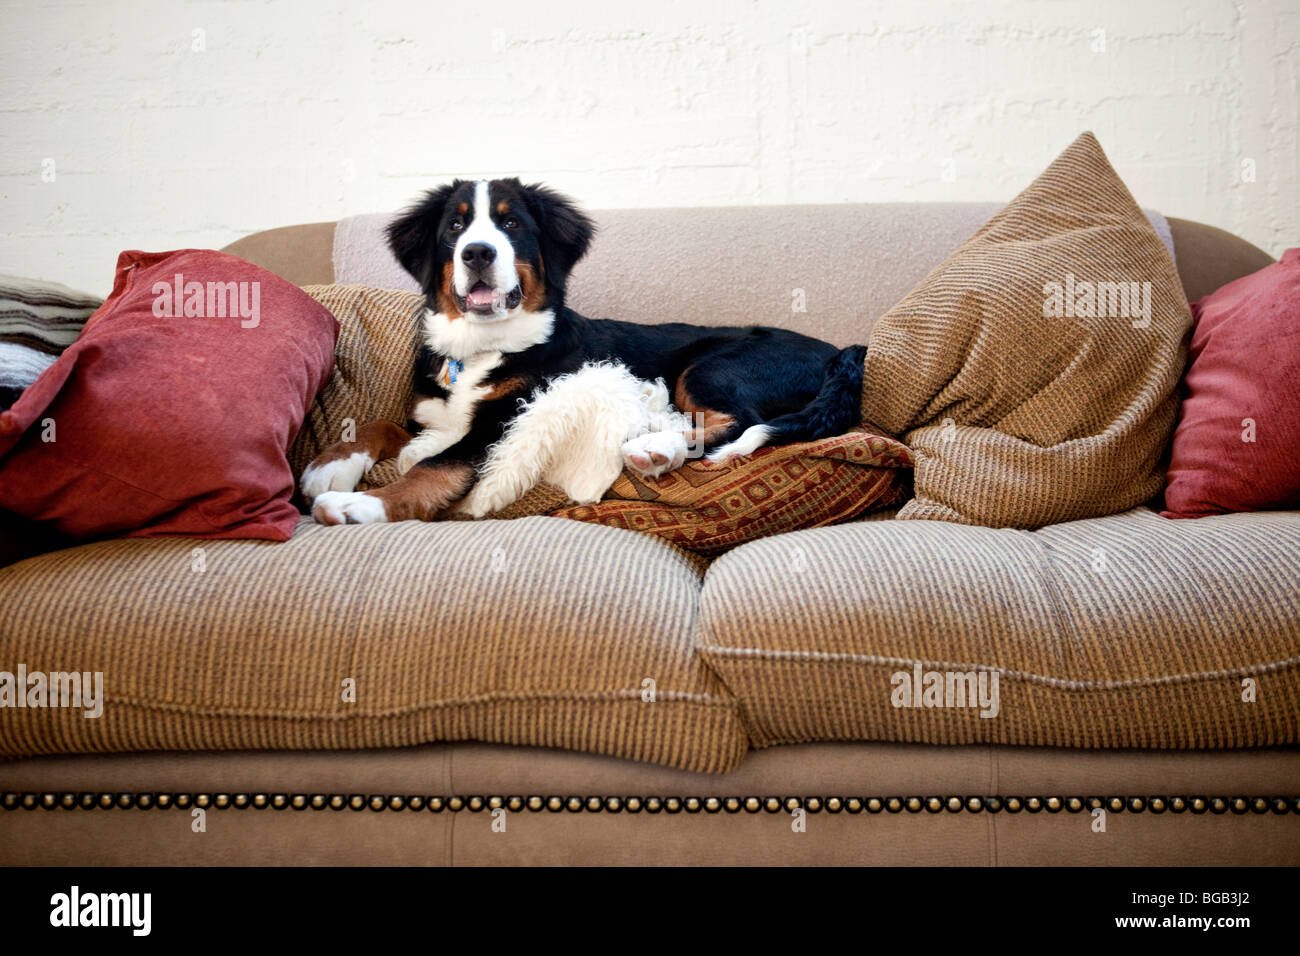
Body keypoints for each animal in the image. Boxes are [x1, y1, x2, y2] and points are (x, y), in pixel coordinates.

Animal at [304, 179, 868, 522]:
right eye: (455, 227)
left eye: (511, 224)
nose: (477, 253)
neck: (484, 347)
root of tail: (840, 351)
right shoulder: (432, 418)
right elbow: (382, 424)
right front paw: (329, 466)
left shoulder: (506, 418)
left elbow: (433, 467)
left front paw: (360, 505)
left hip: (713, 365)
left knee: (732, 420)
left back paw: (656, 446)